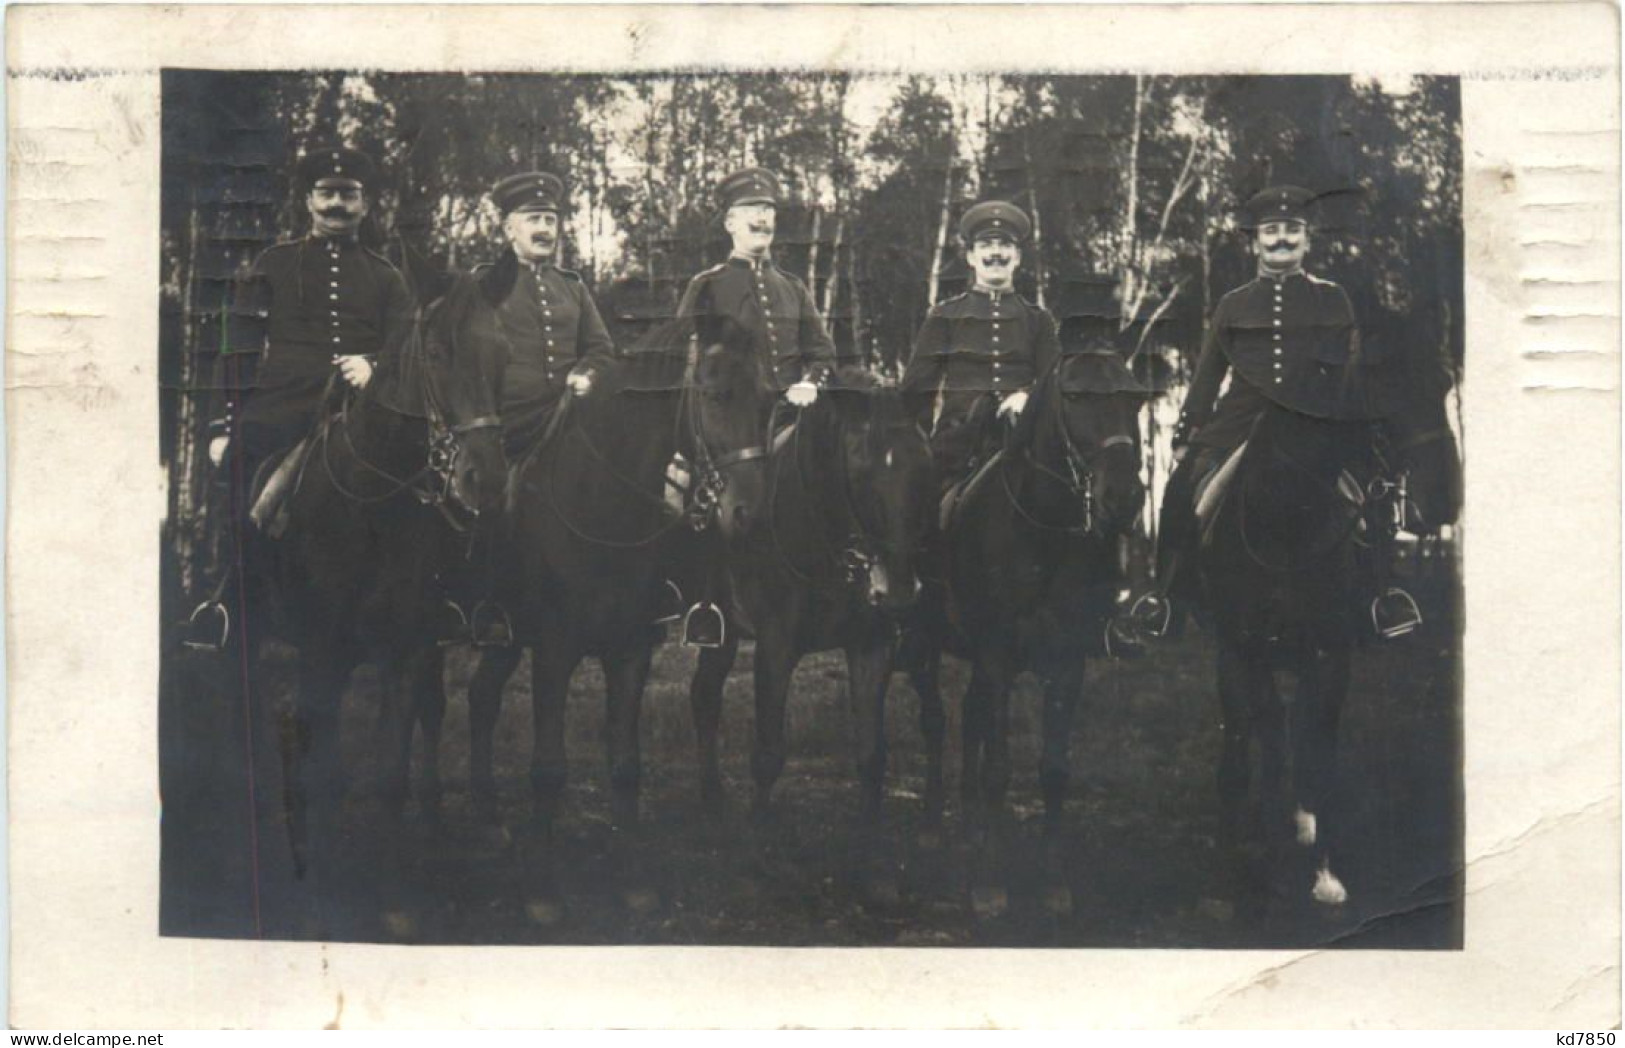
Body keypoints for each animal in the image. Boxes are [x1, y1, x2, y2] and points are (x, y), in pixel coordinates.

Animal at [237, 307, 503, 935]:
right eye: (436, 355)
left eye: (501, 353)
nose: (485, 479)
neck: (369, 504)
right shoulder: (321, 657)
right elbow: (329, 768)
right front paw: (322, 885)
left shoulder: (405, 655)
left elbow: (389, 771)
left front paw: (391, 889)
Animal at [461, 315, 783, 922]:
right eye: (713, 393)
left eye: (767, 399)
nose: (750, 515)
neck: (601, 504)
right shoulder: (554, 651)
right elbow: (548, 766)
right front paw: (542, 886)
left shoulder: (631, 649)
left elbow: (626, 764)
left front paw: (631, 874)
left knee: (482, 697)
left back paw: (488, 818)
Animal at [682, 354, 942, 896]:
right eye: (861, 473)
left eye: (923, 469)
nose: (898, 591)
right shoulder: (775, 647)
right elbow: (768, 753)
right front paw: (760, 844)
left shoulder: (873, 646)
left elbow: (871, 754)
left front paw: (868, 852)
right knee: (706, 696)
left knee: (705, 694)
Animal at [903, 349, 1157, 916]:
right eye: (1077, 396)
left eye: (1134, 398)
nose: (1125, 496)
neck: (1041, 530)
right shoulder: (997, 655)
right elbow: (999, 766)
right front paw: (991, 883)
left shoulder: (1066, 662)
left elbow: (1054, 768)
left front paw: (1053, 881)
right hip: (922, 644)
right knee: (935, 720)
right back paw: (930, 825)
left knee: (971, 713)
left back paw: (973, 826)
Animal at [1202, 346, 1469, 916]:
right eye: (1382, 390)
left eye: (1442, 386)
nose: (1445, 496)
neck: (1286, 520)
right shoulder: (1239, 652)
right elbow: (1247, 753)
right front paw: (1235, 876)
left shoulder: (1331, 655)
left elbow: (1318, 755)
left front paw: (1324, 876)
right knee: (1264, 729)